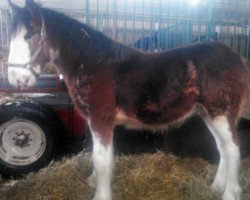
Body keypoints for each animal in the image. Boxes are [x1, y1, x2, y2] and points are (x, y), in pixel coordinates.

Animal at [6, 0, 248, 199]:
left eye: (30, 35)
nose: (15, 79)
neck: (94, 65)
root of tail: (234, 58)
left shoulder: (101, 120)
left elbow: (101, 160)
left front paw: (101, 195)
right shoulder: (95, 122)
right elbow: (98, 155)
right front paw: (93, 181)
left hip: (220, 113)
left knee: (233, 149)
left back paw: (230, 193)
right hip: (208, 114)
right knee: (222, 148)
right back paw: (216, 186)